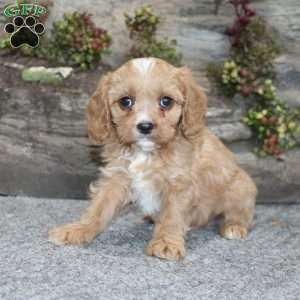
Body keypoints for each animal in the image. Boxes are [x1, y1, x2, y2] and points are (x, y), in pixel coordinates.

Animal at [48, 57, 256, 258]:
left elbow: (171, 215)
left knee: (241, 212)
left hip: (241, 187)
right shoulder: (117, 177)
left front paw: (166, 243)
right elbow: (99, 208)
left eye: (166, 101)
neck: (146, 152)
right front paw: (77, 229)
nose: (145, 126)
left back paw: (234, 226)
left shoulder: (179, 184)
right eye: (125, 101)